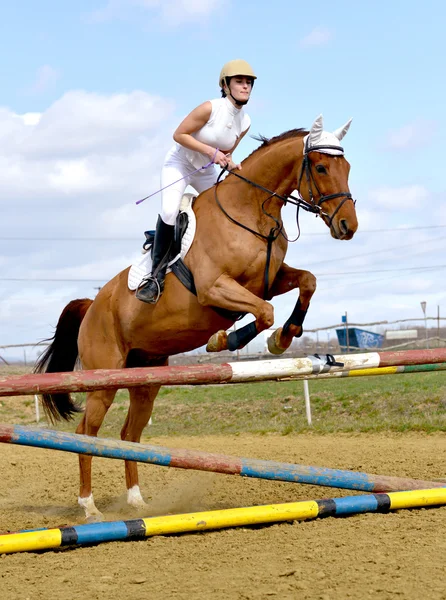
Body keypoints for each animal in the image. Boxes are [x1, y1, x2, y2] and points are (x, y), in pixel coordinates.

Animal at [35, 113, 358, 520]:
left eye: (347, 167)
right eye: (320, 167)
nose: (348, 226)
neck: (250, 210)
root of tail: (91, 306)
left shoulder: (269, 280)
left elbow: (307, 282)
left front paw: (284, 336)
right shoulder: (214, 289)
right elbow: (264, 312)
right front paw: (225, 340)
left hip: (146, 378)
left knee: (129, 435)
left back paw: (136, 500)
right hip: (103, 380)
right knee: (86, 434)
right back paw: (89, 507)